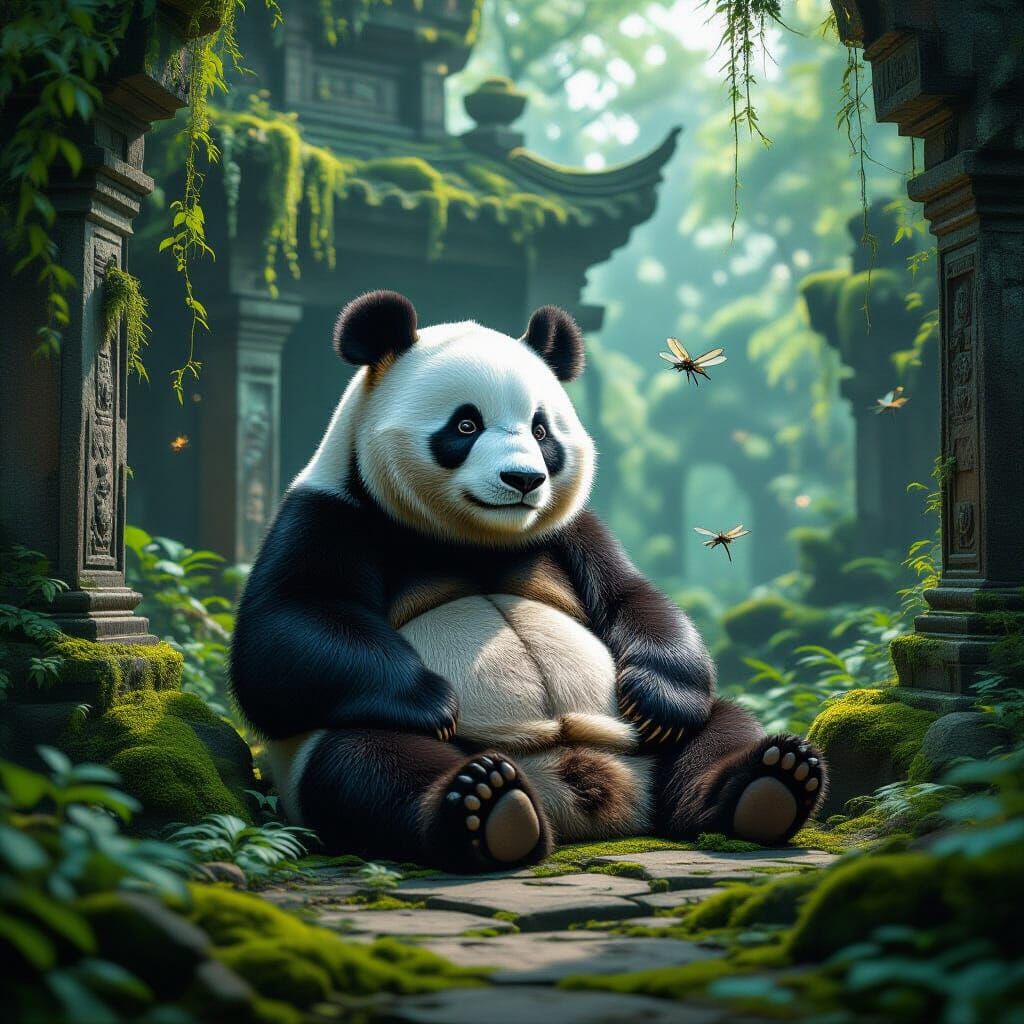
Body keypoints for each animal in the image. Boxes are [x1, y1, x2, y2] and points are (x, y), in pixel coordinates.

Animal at [230, 290, 827, 872]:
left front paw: (657, 699)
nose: (523, 479)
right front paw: (431, 697)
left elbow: (634, 598)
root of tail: (589, 808)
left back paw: (769, 781)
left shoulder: (572, 531)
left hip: (644, 746)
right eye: (465, 425)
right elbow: (281, 639)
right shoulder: (333, 514)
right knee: (366, 758)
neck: (474, 536)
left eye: (542, 430)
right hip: (342, 752)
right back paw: (488, 806)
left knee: (719, 727)